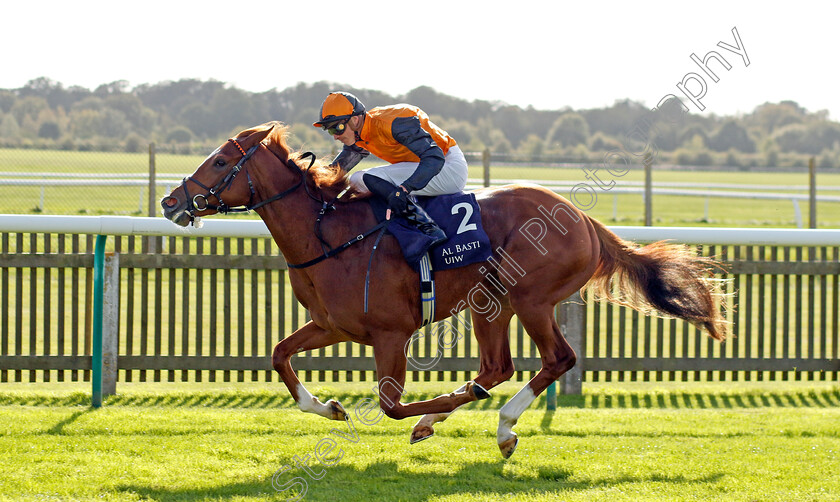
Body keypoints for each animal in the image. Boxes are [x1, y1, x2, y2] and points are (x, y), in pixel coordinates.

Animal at [161, 121, 724, 458]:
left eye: (218, 162)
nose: (170, 202)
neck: (330, 234)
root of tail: (585, 219)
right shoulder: (331, 325)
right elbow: (280, 355)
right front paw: (330, 407)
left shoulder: (392, 332)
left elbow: (391, 404)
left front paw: (415, 414)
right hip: (491, 303)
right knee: (497, 366)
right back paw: (464, 413)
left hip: (531, 299)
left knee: (556, 360)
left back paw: (500, 423)